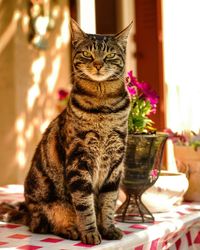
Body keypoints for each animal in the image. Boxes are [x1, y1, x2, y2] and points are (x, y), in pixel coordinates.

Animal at [0, 19, 133, 244]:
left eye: (110, 55)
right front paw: (90, 233)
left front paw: (108, 228)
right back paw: (71, 230)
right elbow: (85, 204)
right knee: (44, 226)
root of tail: (27, 214)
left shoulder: (116, 162)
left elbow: (108, 201)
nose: (98, 64)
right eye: (87, 54)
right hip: (47, 204)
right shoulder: (79, 160)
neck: (103, 106)